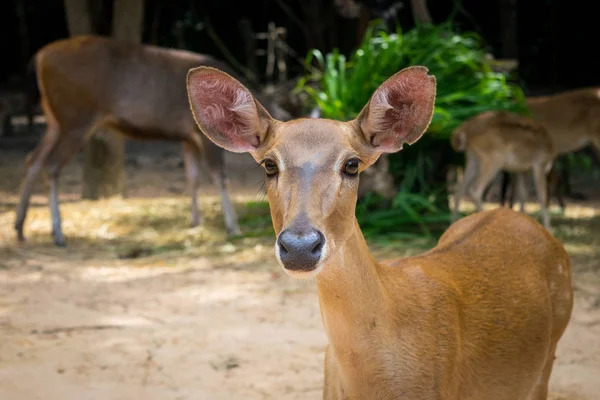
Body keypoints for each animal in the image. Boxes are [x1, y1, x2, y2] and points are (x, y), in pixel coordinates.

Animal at [15, 35, 292, 247]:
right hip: (75, 116)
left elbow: (192, 177)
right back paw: (58, 233)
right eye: (271, 163)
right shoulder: (200, 134)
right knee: (51, 164)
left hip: (55, 119)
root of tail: (40, 57)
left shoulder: (187, 137)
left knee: (33, 159)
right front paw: (233, 226)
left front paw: (196, 222)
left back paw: (20, 227)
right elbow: (218, 176)